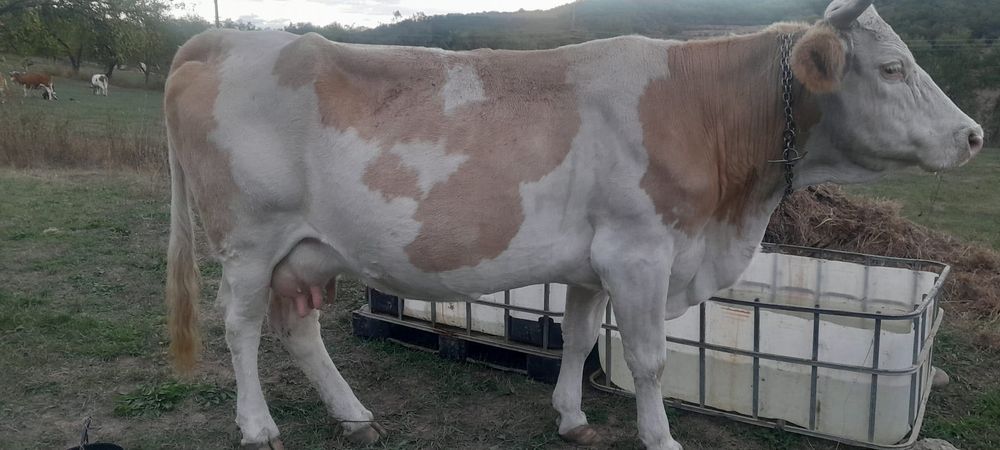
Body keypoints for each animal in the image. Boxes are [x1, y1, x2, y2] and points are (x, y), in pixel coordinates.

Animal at [163, 1, 983, 449]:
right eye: (891, 68)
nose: (974, 135)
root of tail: (228, 39)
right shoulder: (641, 252)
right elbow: (649, 359)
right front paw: (661, 436)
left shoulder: (595, 261)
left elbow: (583, 338)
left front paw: (571, 418)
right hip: (249, 241)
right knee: (239, 327)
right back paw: (258, 426)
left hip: (307, 251)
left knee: (299, 329)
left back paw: (355, 416)